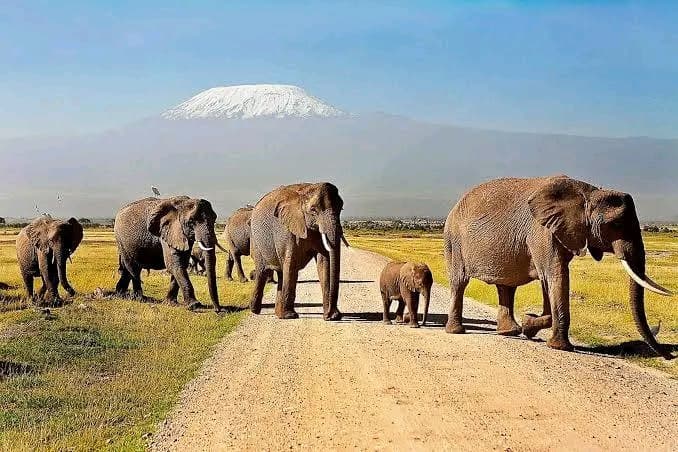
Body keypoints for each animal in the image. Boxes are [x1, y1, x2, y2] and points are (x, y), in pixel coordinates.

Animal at [249, 182, 344, 320]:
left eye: (341, 208)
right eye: (313, 210)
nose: (330, 315)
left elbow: (324, 262)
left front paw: (332, 316)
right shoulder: (286, 230)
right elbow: (291, 263)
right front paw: (290, 316)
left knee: (281, 272)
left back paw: (278, 314)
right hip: (257, 241)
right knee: (262, 272)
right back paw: (256, 311)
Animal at [443, 175, 673, 358]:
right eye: (616, 225)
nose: (669, 356)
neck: (588, 193)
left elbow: (551, 281)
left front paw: (529, 325)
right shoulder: (541, 232)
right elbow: (555, 276)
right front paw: (556, 344)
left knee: (506, 286)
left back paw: (510, 332)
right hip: (454, 241)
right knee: (459, 282)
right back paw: (457, 331)